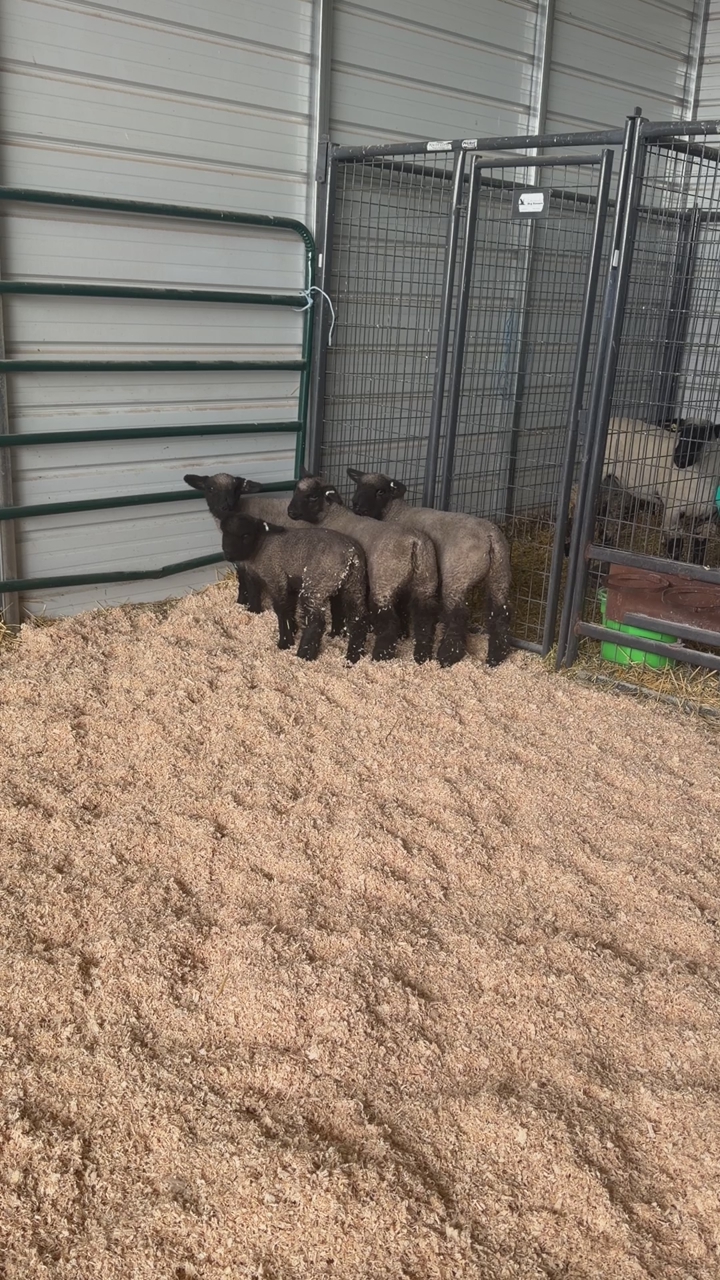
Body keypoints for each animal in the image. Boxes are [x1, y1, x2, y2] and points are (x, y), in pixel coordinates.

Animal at [183, 472, 349, 638]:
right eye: (210, 489)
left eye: (236, 489)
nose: (226, 507)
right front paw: (242, 602)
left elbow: (247, 582)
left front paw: (251, 607)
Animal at [219, 510, 369, 663]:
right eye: (224, 532)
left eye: (246, 535)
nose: (228, 555)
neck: (260, 545)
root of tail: (351, 555)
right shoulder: (288, 582)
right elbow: (287, 606)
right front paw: (292, 629)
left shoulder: (276, 577)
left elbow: (281, 609)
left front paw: (285, 642)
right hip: (354, 584)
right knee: (358, 619)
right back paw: (353, 657)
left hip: (315, 586)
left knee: (316, 621)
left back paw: (304, 654)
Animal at [287, 469, 439, 664]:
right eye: (296, 490)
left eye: (313, 496)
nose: (291, 512)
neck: (333, 516)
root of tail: (415, 542)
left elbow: (337, 607)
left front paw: (336, 632)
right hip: (426, 582)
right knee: (425, 619)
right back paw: (421, 657)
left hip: (384, 583)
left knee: (391, 622)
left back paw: (380, 656)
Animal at [347, 468, 512, 668]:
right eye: (359, 485)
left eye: (381, 491)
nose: (357, 506)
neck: (396, 512)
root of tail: (490, 538)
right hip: (500, 575)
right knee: (500, 612)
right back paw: (496, 656)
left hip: (458, 576)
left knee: (458, 614)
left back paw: (448, 655)